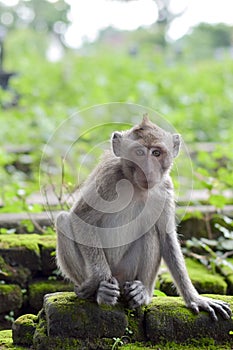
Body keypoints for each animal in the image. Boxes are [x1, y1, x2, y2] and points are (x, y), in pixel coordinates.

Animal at [56, 114, 231, 320]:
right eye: (139, 152)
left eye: (156, 153)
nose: (148, 170)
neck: (136, 187)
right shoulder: (108, 178)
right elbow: (81, 219)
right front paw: (98, 283)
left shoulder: (165, 189)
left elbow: (166, 237)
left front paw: (195, 298)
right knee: (63, 220)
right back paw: (96, 292)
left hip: (127, 273)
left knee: (151, 231)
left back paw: (142, 293)